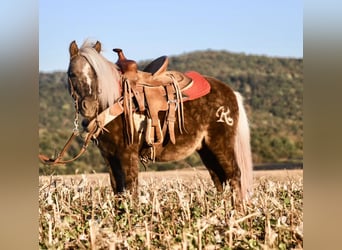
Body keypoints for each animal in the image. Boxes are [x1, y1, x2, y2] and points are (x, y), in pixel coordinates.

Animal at [65, 40, 252, 202]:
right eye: (72, 74)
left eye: (97, 74)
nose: (89, 106)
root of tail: (231, 92)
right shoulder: (110, 157)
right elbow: (119, 192)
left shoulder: (127, 155)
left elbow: (131, 191)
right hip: (206, 149)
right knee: (220, 180)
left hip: (221, 145)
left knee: (234, 176)